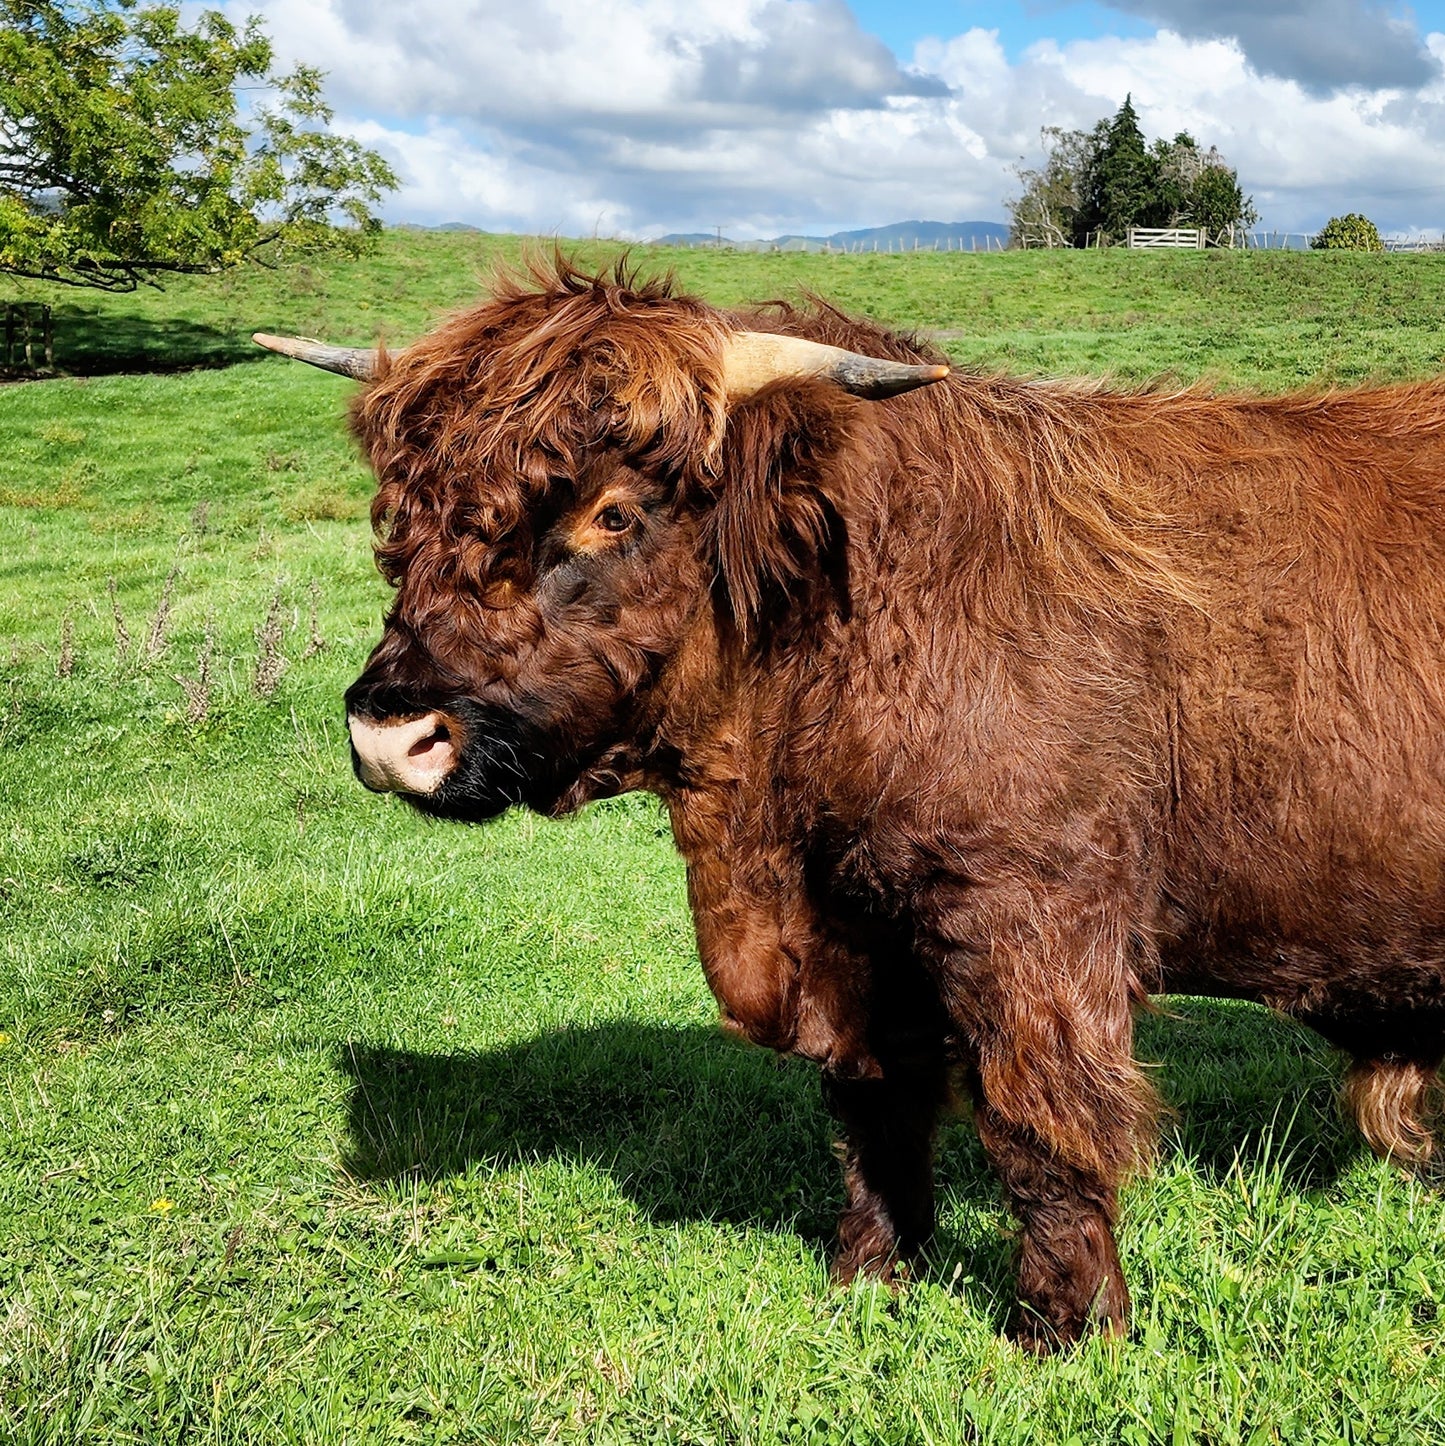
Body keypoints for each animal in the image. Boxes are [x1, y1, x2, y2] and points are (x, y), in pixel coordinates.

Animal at [257, 257, 1445, 1341]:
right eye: (402, 514)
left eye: (615, 513)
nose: (390, 731)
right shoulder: (857, 929)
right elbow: (875, 1103)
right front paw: (870, 1272)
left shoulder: (1030, 922)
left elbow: (1038, 1125)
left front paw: (1064, 1329)